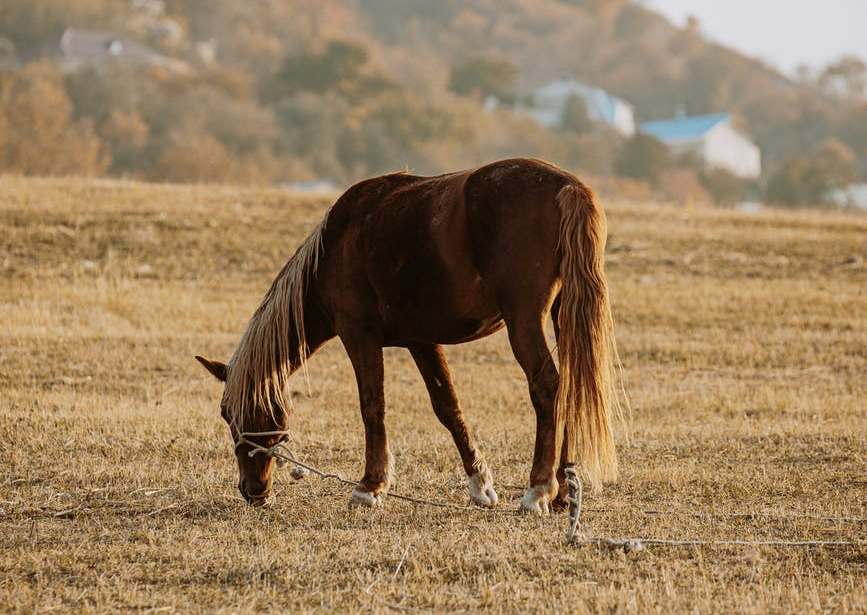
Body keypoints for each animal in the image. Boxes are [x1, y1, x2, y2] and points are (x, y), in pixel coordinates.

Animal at [197, 156, 620, 512]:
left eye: (229, 414)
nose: (253, 491)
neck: (335, 246)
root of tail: (567, 186)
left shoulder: (359, 337)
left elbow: (373, 406)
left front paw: (369, 487)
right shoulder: (422, 341)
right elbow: (447, 407)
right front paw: (480, 484)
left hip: (524, 321)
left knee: (548, 386)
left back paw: (538, 490)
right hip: (562, 316)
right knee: (570, 388)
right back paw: (563, 492)